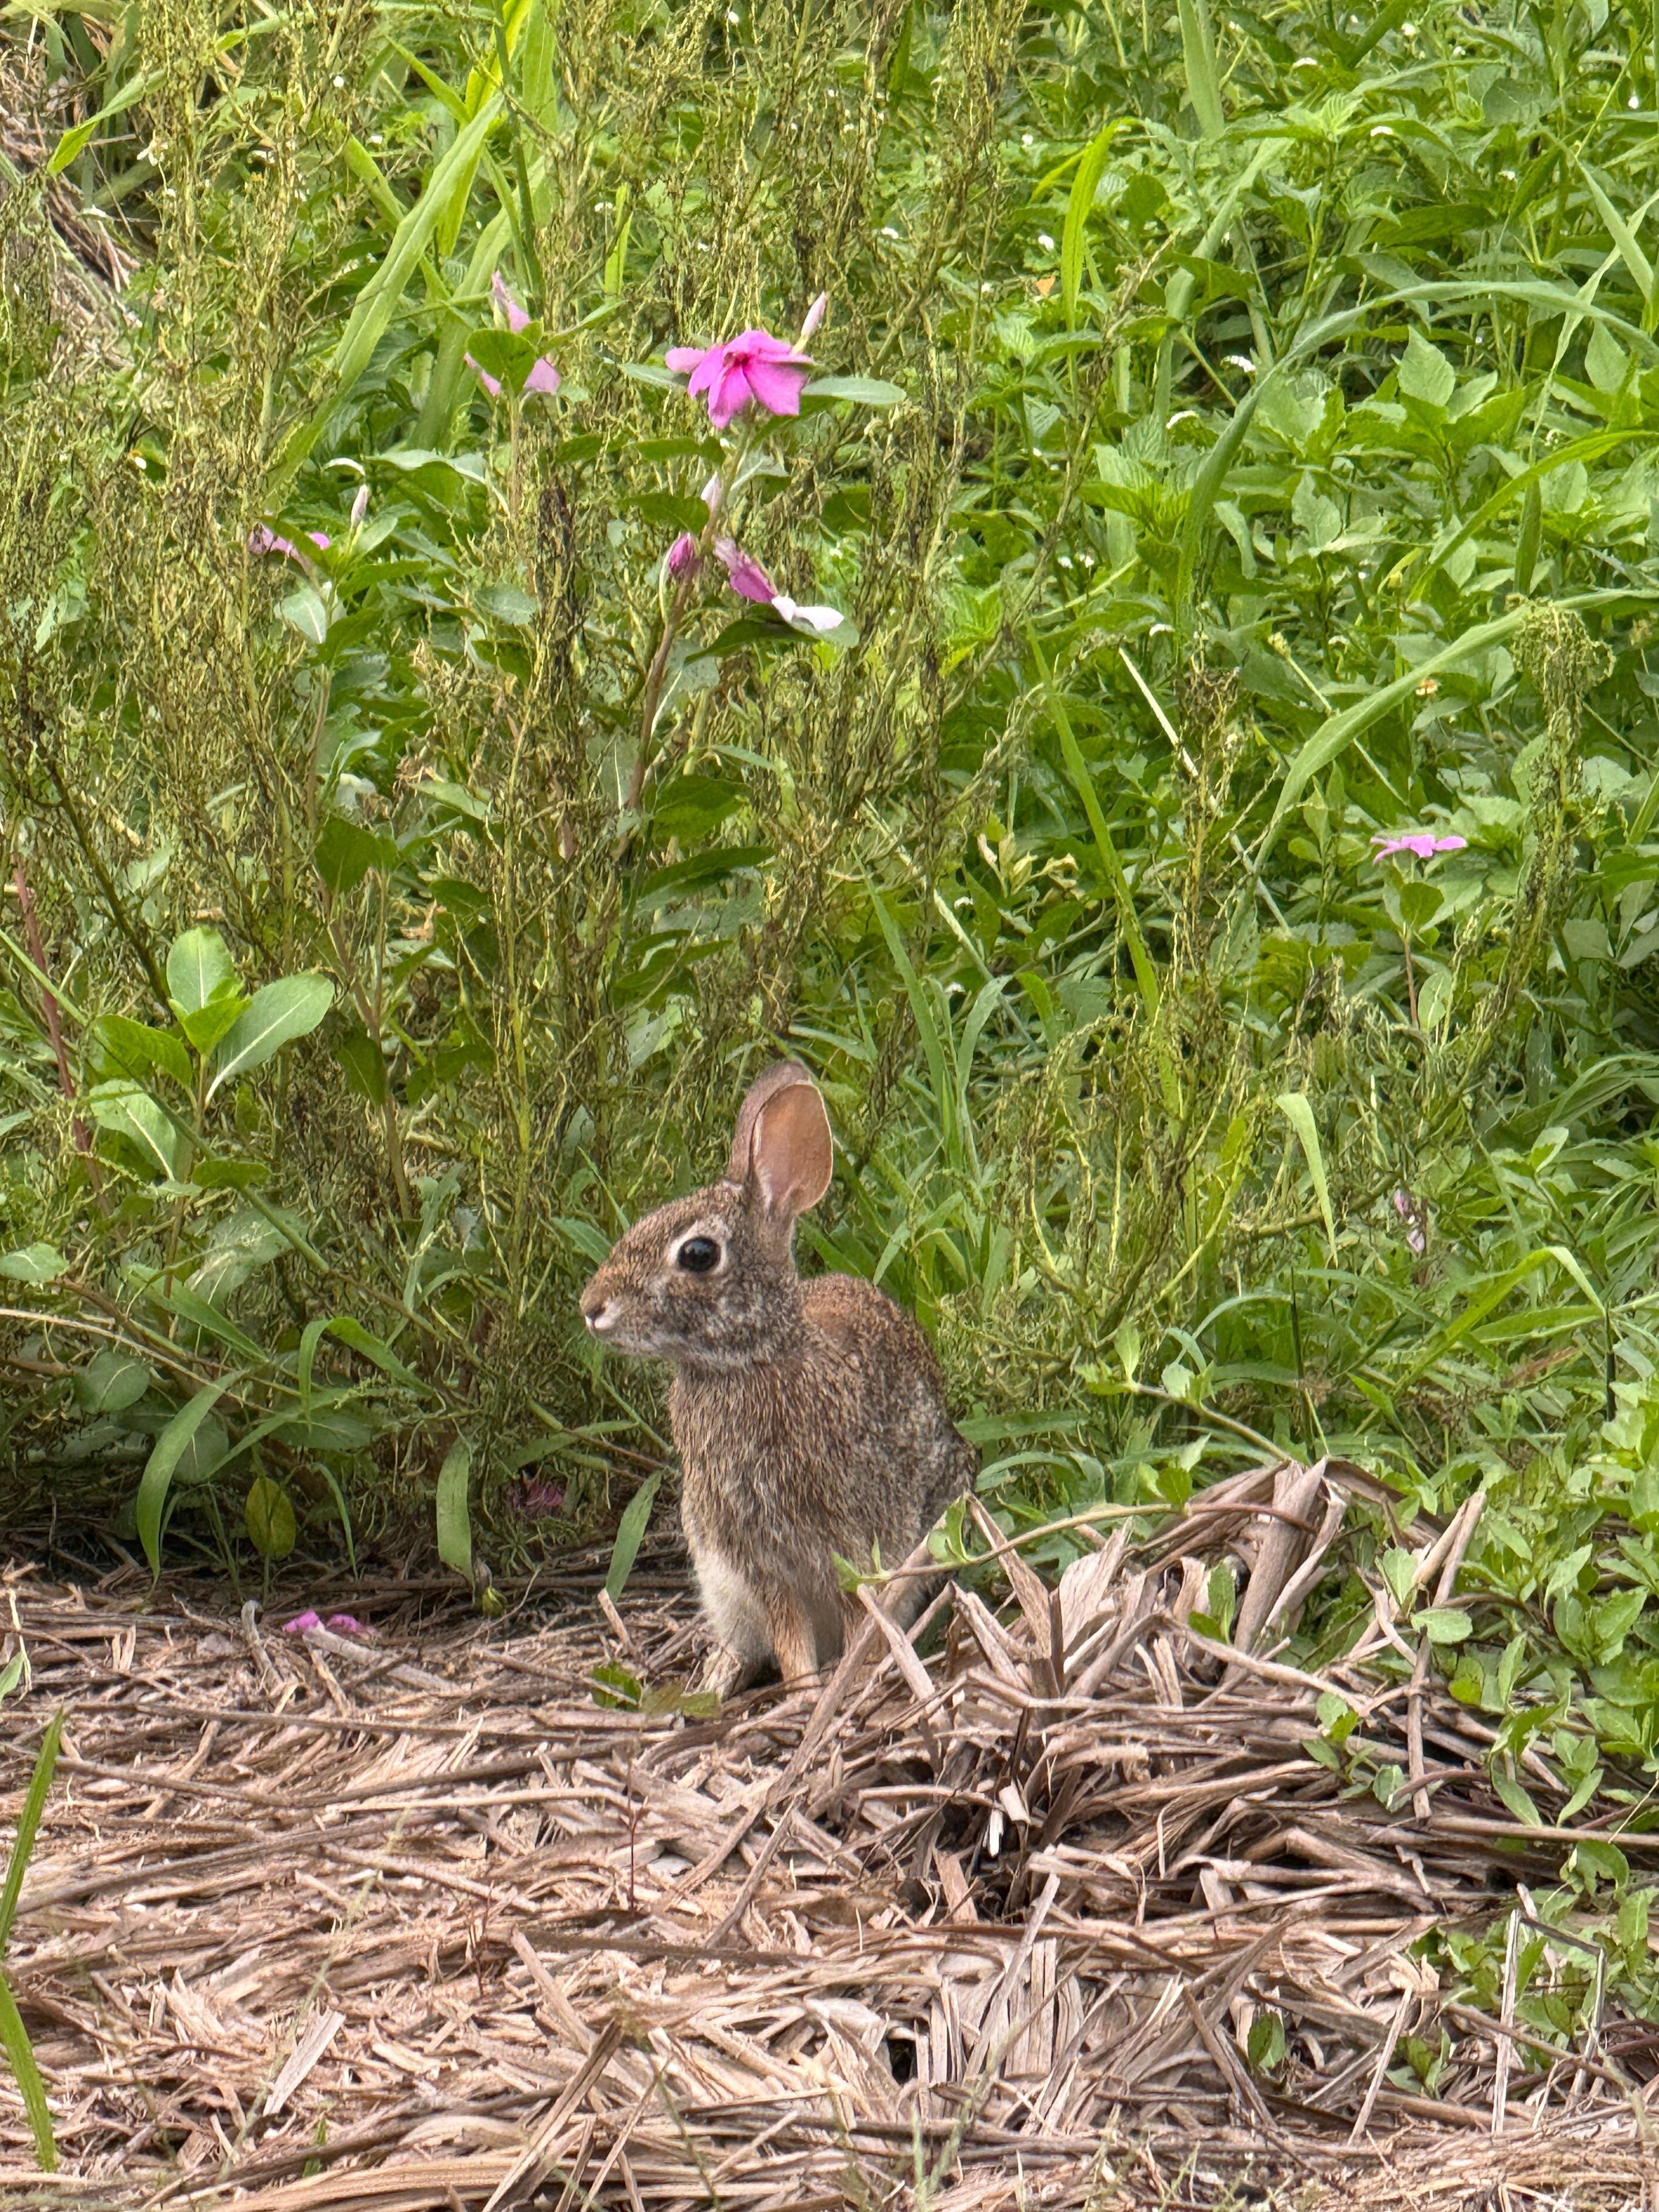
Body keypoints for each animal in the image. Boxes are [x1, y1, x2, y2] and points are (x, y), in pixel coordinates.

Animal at [579, 1061, 977, 1693]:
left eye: (697, 1254)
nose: (592, 1308)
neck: (754, 1358)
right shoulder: (757, 1562)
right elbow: (790, 1637)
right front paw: (804, 1690)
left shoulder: (848, 1541)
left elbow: (857, 1610)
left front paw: (840, 1686)